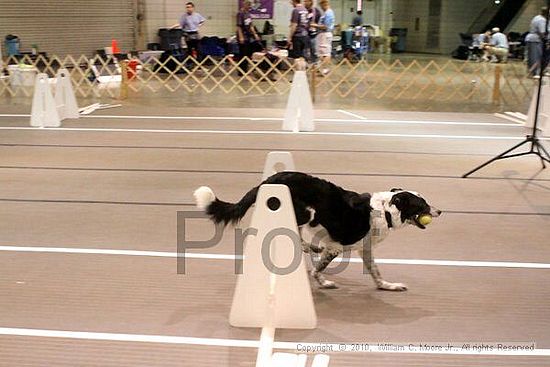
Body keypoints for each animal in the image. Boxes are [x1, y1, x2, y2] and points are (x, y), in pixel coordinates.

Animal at [196, 173, 442, 294]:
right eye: (422, 205)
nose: (439, 211)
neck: (386, 210)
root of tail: (266, 181)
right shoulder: (336, 247)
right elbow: (317, 270)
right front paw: (324, 283)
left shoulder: (365, 249)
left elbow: (376, 272)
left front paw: (387, 286)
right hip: (305, 212)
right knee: (296, 234)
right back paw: (312, 246)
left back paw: (312, 246)